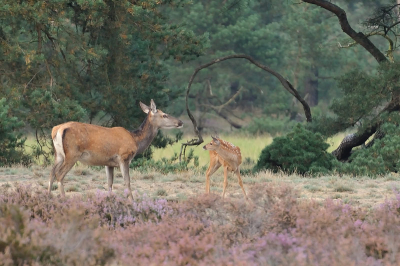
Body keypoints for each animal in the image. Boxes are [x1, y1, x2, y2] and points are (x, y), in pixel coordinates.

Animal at [48, 99, 183, 197]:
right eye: (164, 115)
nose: (180, 122)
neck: (135, 140)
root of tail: (57, 130)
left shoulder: (109, 163)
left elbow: (109, 183)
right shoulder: (124, 157)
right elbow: (127, 182)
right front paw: (131, 202)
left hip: (58, 154)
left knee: (52, 173)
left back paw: (48, 198)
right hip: (72, 154)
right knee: (59, 174)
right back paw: (63, 198)